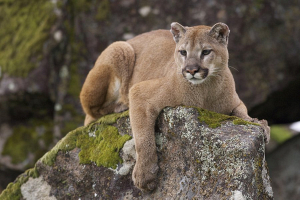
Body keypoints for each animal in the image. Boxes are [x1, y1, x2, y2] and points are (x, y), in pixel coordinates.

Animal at [79, 21, 270, 191]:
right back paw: (120, 106)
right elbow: (143, 138)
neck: (205, 91)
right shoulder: (139, 92)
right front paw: (145, 176)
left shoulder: (235, 102)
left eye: (206, 51)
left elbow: (242, 114)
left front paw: (260, 124)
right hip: (120, 48)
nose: (191, 70)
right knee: (90, 112)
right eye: (183, 52)